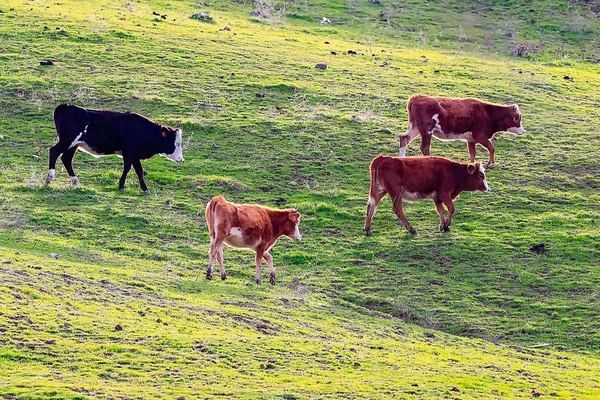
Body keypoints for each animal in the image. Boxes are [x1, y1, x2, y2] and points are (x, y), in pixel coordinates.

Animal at [45, 104, 183, 194]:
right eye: (175, 143)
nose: (181, 159)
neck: (141, 130)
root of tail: (65, 106)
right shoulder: (128, 152)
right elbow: (127, 168)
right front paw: (121, 186)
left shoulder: (134, 155)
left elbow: (139, 170)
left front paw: (145, 189)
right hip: (67, 141)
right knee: (54, 151)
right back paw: (50, 177)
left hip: (74, 145)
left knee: (66, 158)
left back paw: (75, 181)